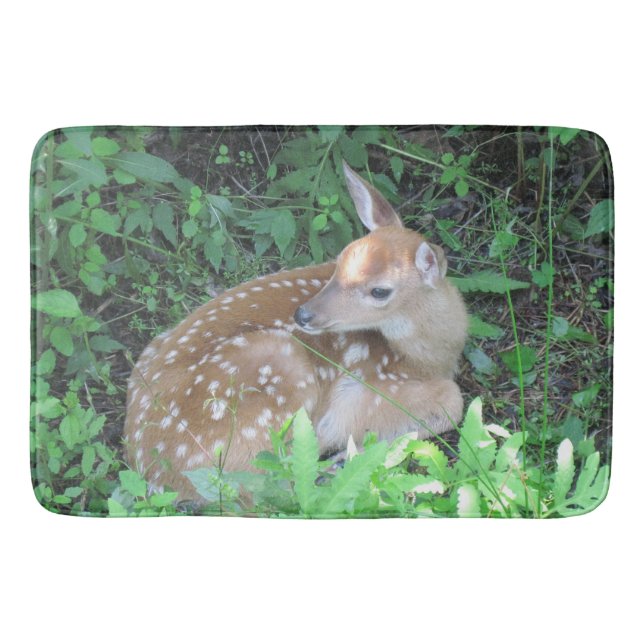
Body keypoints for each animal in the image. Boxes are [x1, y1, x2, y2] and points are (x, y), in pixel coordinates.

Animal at [123, 161, 468, 502]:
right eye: (340, 261)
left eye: (379, 291)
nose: (303, 313)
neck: (428, 358)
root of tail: (155, 474)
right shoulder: (364, 390)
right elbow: (453, 402)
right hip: (278, 371)